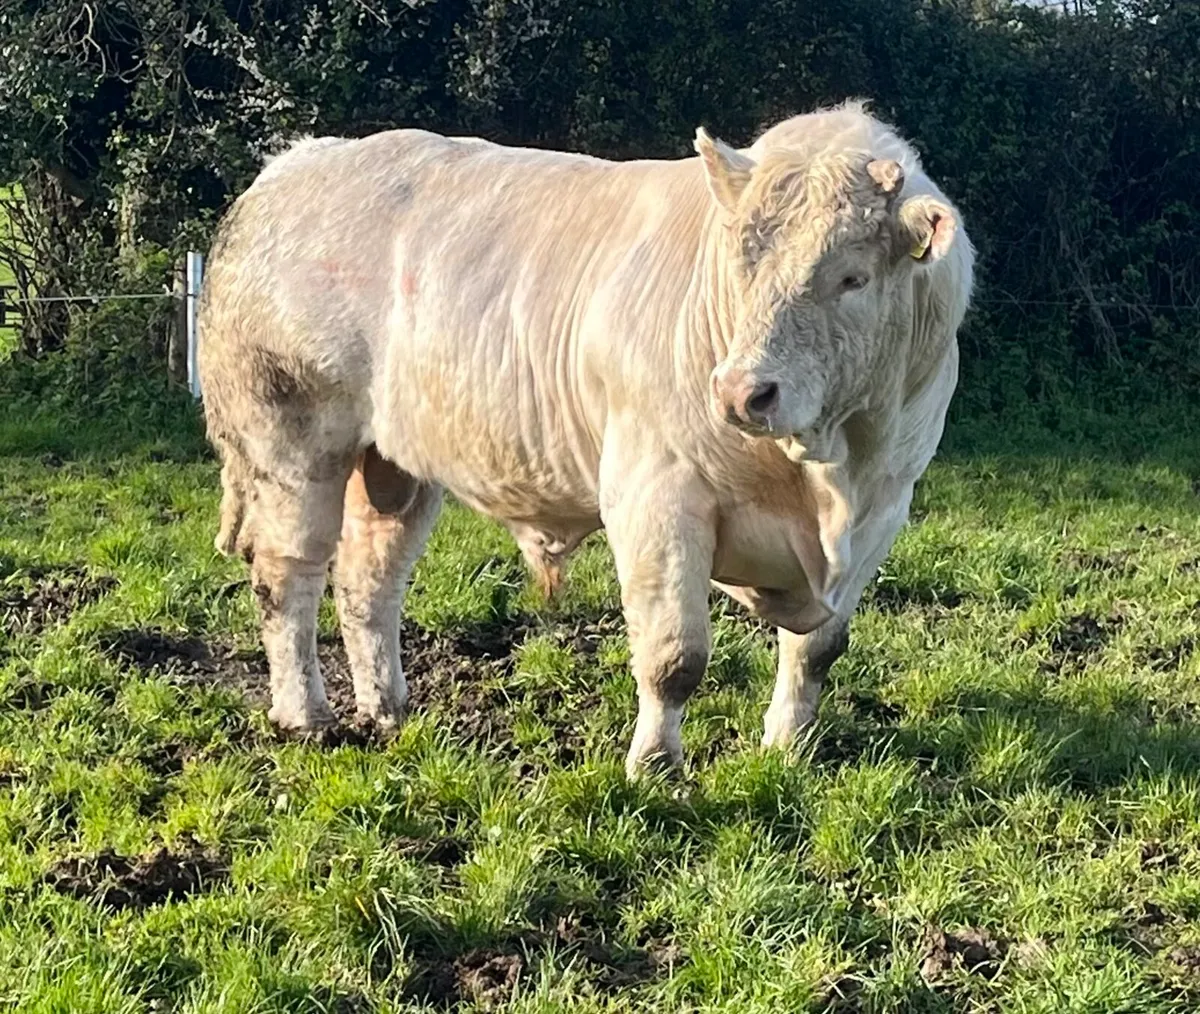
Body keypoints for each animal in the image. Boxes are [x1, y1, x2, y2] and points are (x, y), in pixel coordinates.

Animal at [198, 100, 974, 777]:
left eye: (853, 277)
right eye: (739, 264)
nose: (741, 392)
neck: (826, 475)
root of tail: (289, 168)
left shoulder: (885, 506)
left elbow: (815, 649)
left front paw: (788, 749)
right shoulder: (655, 492)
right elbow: (674, 657)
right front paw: (655, 768)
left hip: (394, 464)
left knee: (369, 582)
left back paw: (389, 711)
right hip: (292, 441)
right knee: (287, 576)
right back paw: (306, 715)